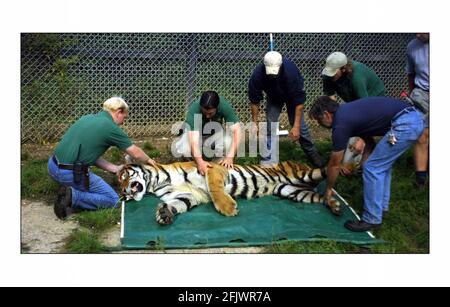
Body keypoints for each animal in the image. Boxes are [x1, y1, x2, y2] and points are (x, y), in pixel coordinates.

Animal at [117, 161, 342, 226]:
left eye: (124, 177)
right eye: (120, 184)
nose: (123, 193)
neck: (157, 182)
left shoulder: (211, 170)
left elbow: (215, 189)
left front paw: (228, 208)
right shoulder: (186, 196)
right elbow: (178, 204)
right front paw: (164, 214)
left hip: (302, 174)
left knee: (326, 170)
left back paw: (345, 166)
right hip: (293, 191)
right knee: (321, 196)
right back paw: (335, 206)